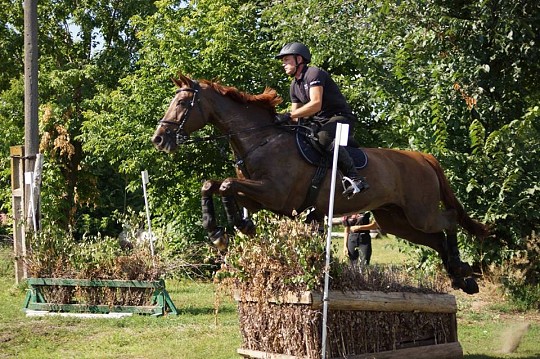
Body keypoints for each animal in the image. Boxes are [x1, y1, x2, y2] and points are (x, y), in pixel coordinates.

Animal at [151, 74, 490, 296]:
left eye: (183, 102)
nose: (159, 139)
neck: (262, 140)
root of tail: (421, 157)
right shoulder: (259, 196)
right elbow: (213, 184)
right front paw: (220, 231)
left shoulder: (275, 195)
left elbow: (225, 186)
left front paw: (229, 229)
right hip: (395, 220)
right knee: (436, 240)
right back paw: (460, 277)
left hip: (419, 212)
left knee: (448, 223)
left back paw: (462, 270)